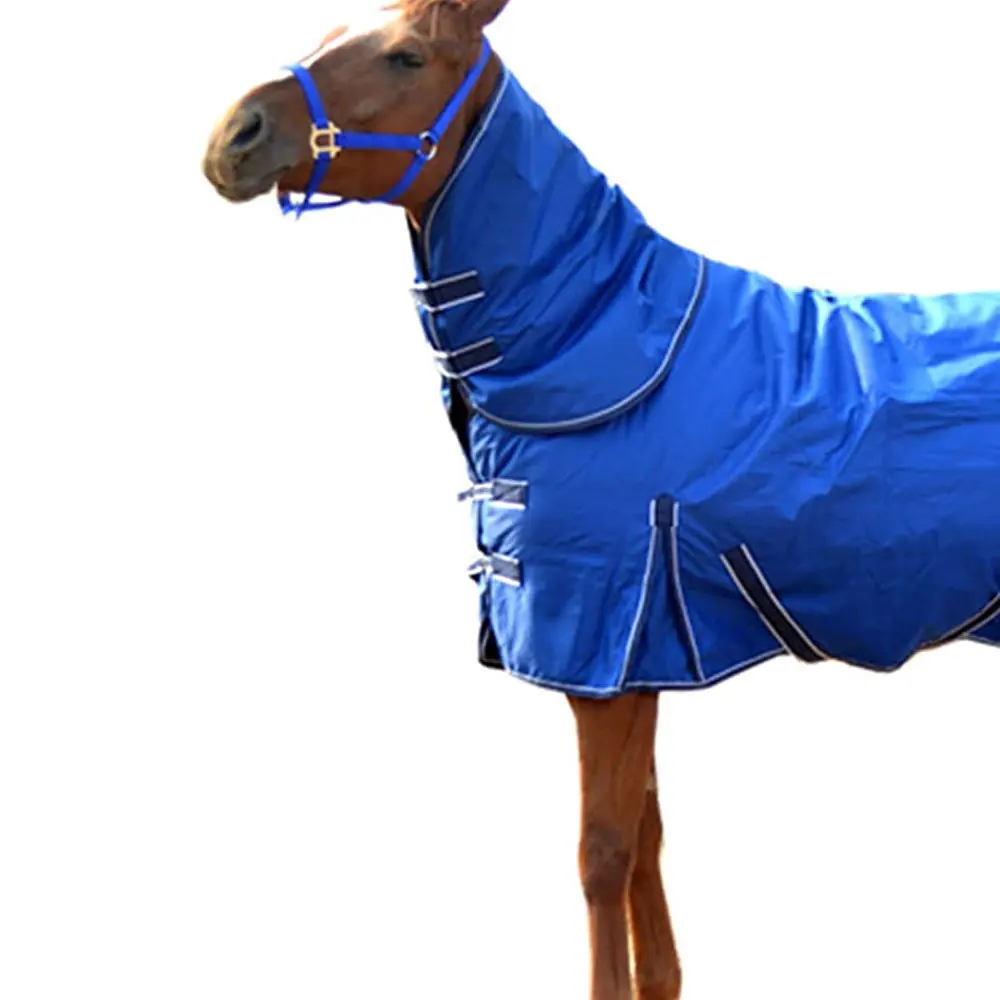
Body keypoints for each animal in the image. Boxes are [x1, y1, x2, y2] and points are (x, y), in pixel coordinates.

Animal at [202, 2, 1000, 998]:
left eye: (407, 56)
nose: (232, 138)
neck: (596, 339)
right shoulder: (639, 660)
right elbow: (648, 839)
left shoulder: (601, 640)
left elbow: (603, 854)